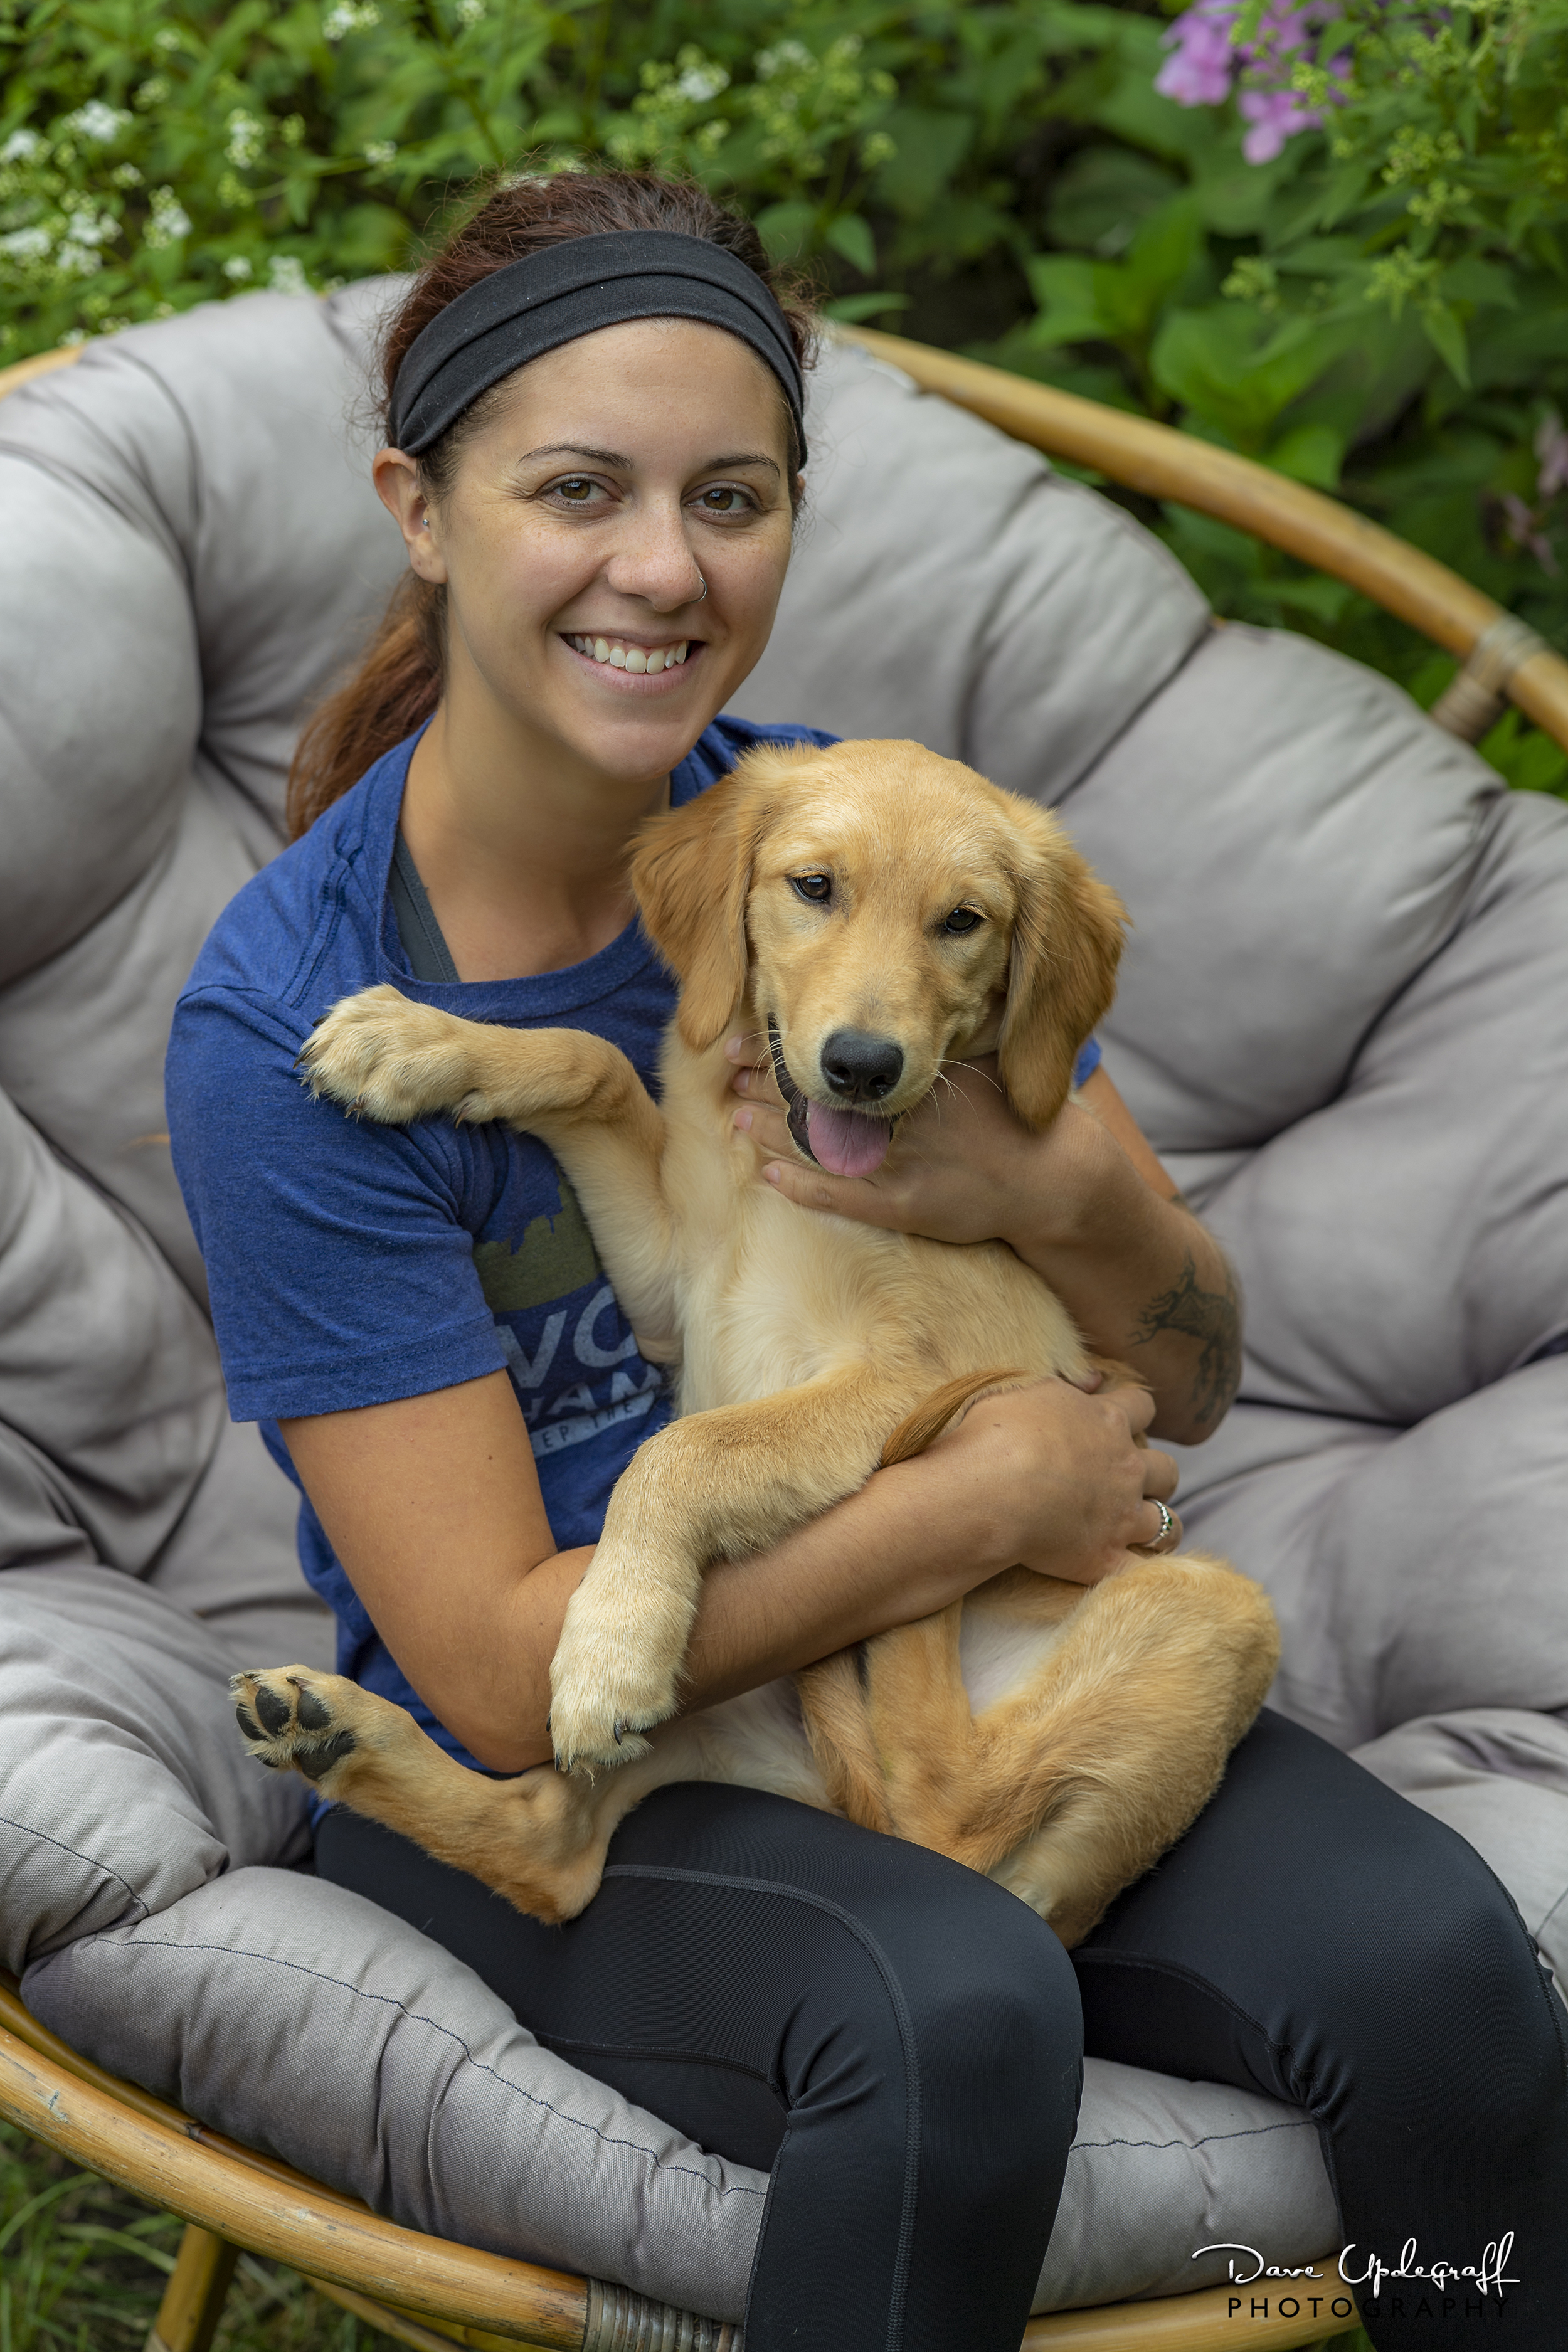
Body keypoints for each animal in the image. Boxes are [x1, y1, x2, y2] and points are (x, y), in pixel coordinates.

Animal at [234, 738, 1279, 1945]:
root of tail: (829, 1787)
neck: (784, 1169)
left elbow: (684, 1450)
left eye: (963, 920)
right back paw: (328, 1728)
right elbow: (591, 1059)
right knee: (550, 1852)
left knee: (947, 1804)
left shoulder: (905, 1367)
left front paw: (610, 1648)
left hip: (1213, 1607)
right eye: (814, 887)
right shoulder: (671, 1284)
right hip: (710, 1733)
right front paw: (410, 1042)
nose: (865, 1065)